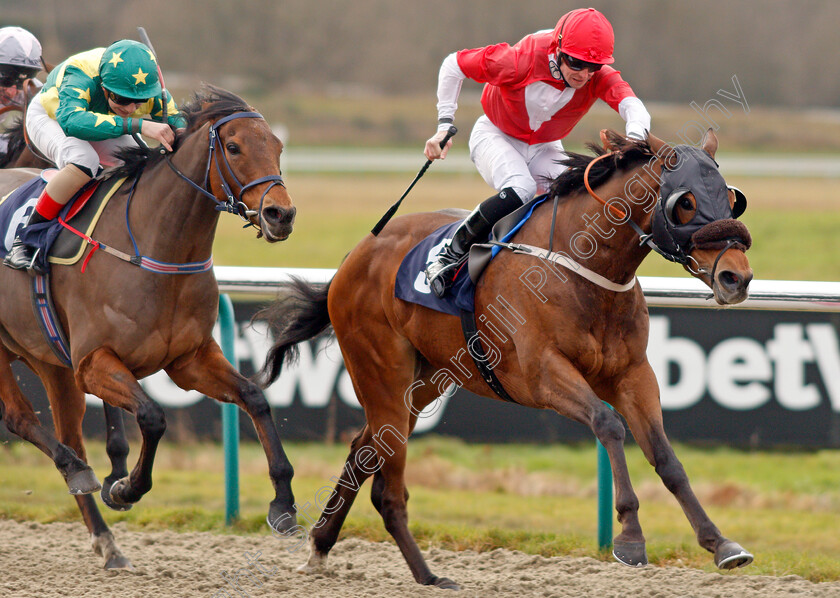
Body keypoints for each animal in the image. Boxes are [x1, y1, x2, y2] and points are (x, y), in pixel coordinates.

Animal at [0, 85, 298, 572]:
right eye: (234, 147)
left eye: (277, 146)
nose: (280, 214)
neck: (158, 247)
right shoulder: (94, 363)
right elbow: (154, 417)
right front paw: (125, 487)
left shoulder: (188, 359)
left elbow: (255, 397)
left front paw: (283, 504)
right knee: (22, 419)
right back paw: (79, 472)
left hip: (49, 362)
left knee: (68, 437)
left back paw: (105, 538)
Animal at [258, 130, 756, 592]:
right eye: (685, 202)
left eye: (732, 198)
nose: (737, 277)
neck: (582, 264)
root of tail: (352, 257)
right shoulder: (541, 375)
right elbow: (608, 424)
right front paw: (630, 536)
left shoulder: (634, 374)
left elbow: (666, 457)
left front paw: (720, 543)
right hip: (380, 370)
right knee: (386, 486)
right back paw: (427, 575)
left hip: (425, 381)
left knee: (364, 450)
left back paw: (322, 545)